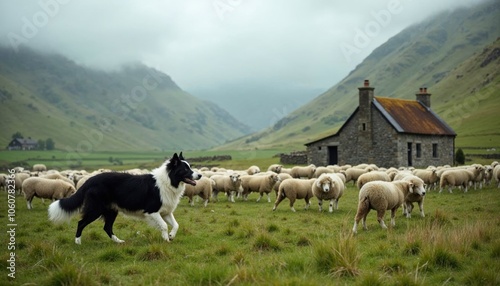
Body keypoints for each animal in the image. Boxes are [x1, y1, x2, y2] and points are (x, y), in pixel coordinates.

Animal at [47, 153, 201, 245]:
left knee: (107, 227)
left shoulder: (165, 212)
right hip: (96, 209)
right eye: (185, 169)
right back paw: (78, 242)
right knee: (81, 223)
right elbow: (163, 225)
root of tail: (90, 180)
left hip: (111, 210)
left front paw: (171, 236)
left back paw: (118, 241)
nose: (199, 175)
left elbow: (176, 225)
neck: (169, 180)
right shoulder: (152, 211)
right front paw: (166, 239)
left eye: (190, 167)